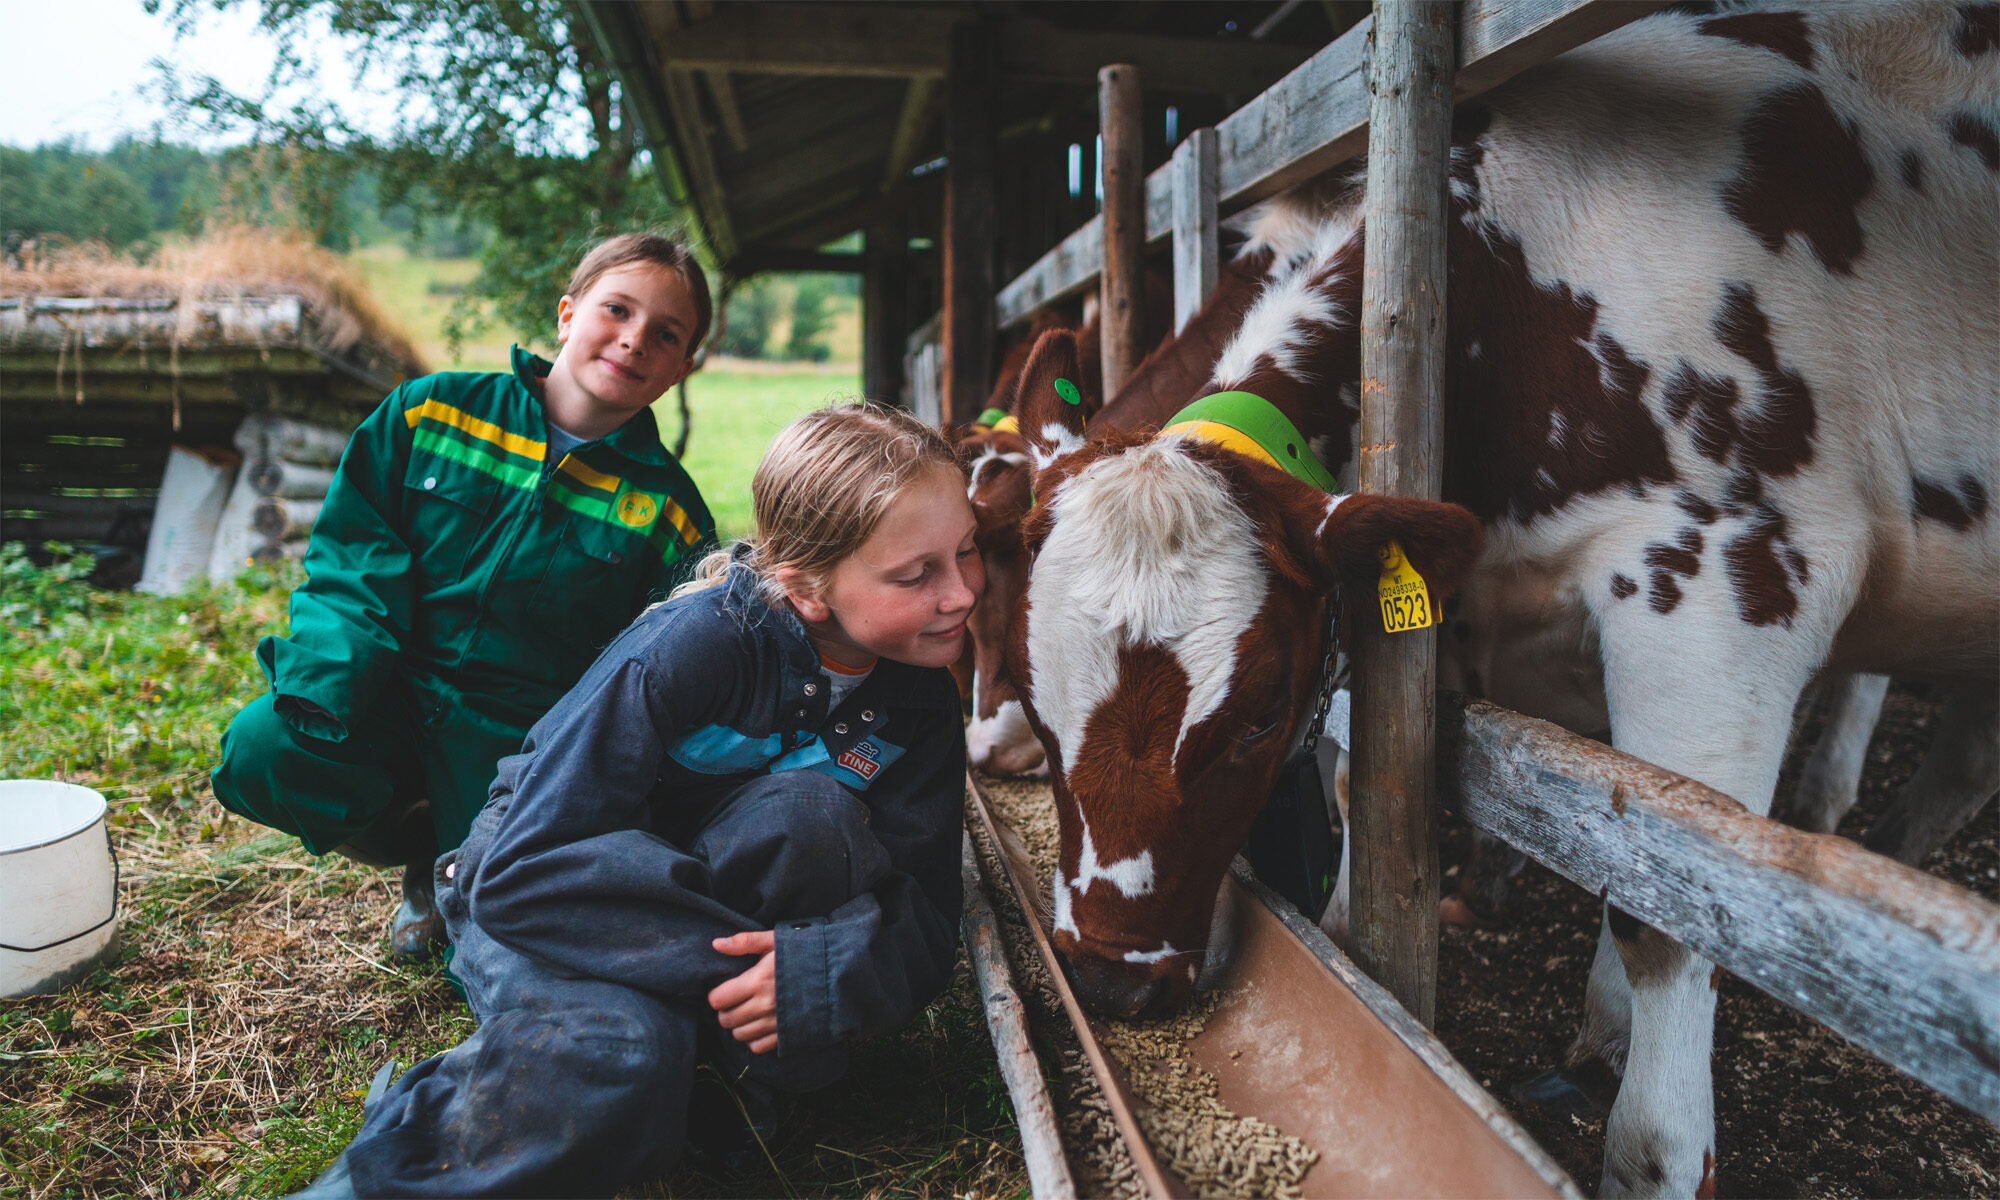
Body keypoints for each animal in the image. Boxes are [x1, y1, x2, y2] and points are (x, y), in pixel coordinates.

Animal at [1008, 4, 1992, 1192]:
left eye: (1255, 719)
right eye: (1041, 702)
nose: (1111, 979)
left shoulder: (1733, 574)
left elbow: (1673, 905)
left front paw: (1652, 1157)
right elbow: (1404, 796)